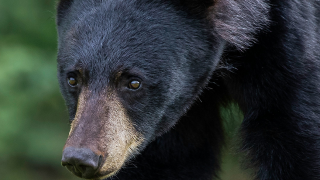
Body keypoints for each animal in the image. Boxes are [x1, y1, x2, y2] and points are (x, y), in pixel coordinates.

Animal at [57, 0, 320, 180]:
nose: (81, 158)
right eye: (73, 79)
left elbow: (298, 139)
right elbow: (168, 160)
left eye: (133, 82)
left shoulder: (286, 49)